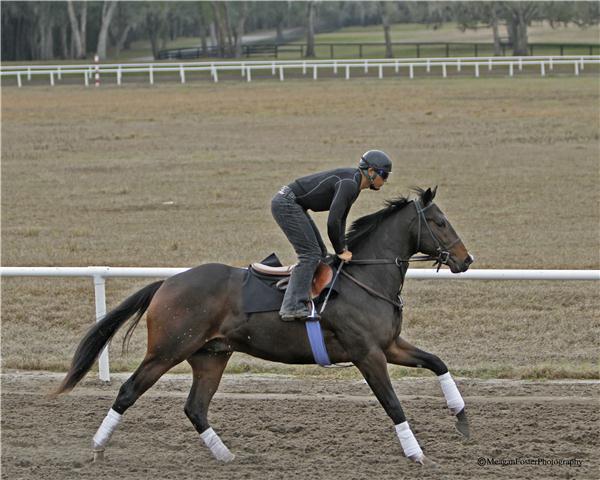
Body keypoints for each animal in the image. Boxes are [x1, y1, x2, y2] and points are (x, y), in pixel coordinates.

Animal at [55, 187, 474, 464]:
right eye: (439, 222)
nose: (465, 259)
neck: (365, 278)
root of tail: (167, 283)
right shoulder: (367, 354)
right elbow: (392, 404)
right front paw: (416, 453)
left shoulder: (389, 346)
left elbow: (437, 363)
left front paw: (463, 420)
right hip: (167, 350)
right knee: (129, 391)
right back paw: (97, 448)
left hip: (210, 355)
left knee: (195, 408)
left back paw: (226, 456)